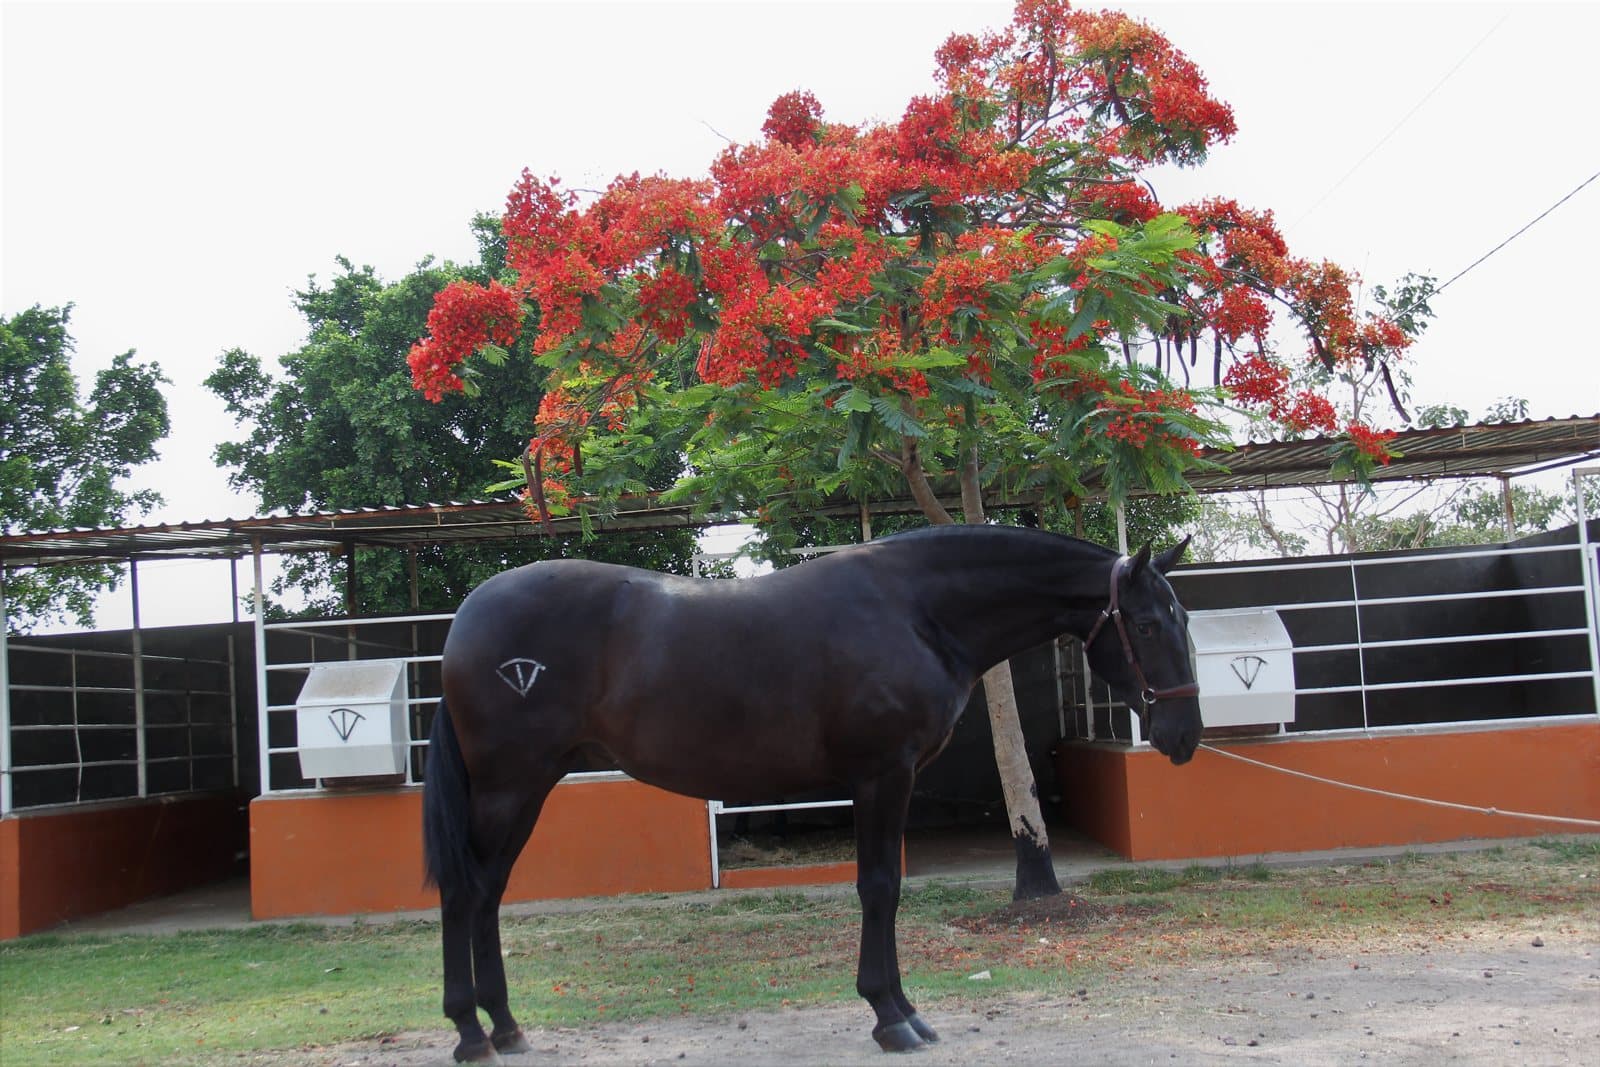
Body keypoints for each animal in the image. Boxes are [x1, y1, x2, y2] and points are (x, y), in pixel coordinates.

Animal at [422, 524, 1203, 1061]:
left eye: (1184, 618)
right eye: (1146, 622)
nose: (1185, 734)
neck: (915, 609)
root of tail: (466, 619)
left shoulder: (889, 779)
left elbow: (886, 888)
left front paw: (903, 1009)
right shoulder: (882, 774)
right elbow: (879, 887)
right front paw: (891, 1016)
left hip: (529, 786)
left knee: (489, 892)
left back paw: (506, 1026)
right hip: (509, 785)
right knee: (465, 892)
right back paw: (468, 1032)